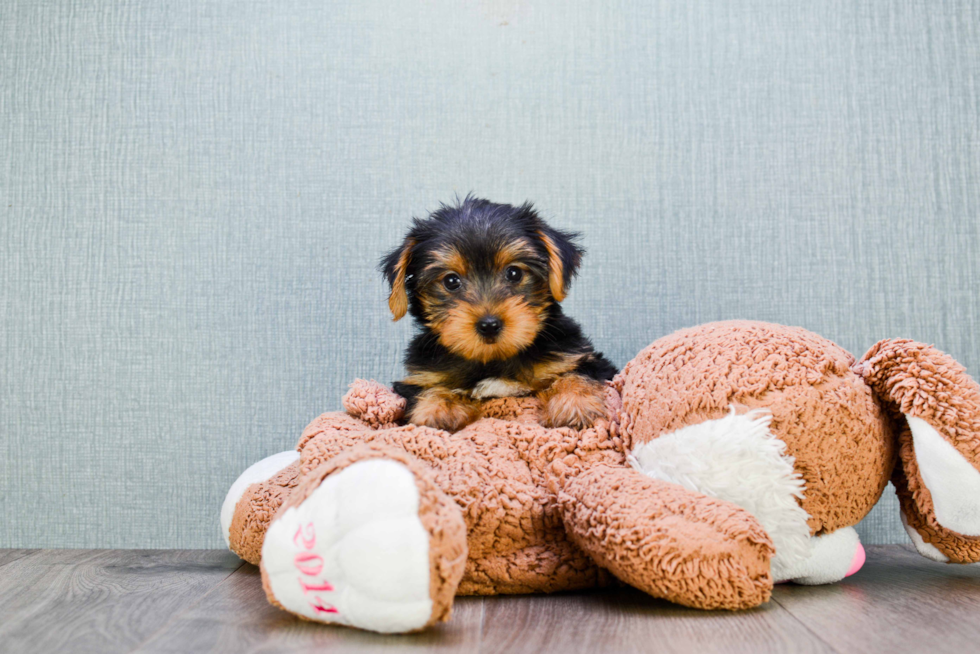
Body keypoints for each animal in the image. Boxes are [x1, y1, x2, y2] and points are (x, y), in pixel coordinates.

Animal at [378, 200, 616, 436]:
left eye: (514, 273)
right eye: (451, 281)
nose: (489, 325)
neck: (494, 360)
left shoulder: (580, 358)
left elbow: (576, 374)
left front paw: (574, 404)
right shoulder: (420, 377)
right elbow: (428, 389)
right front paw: (436, 408)